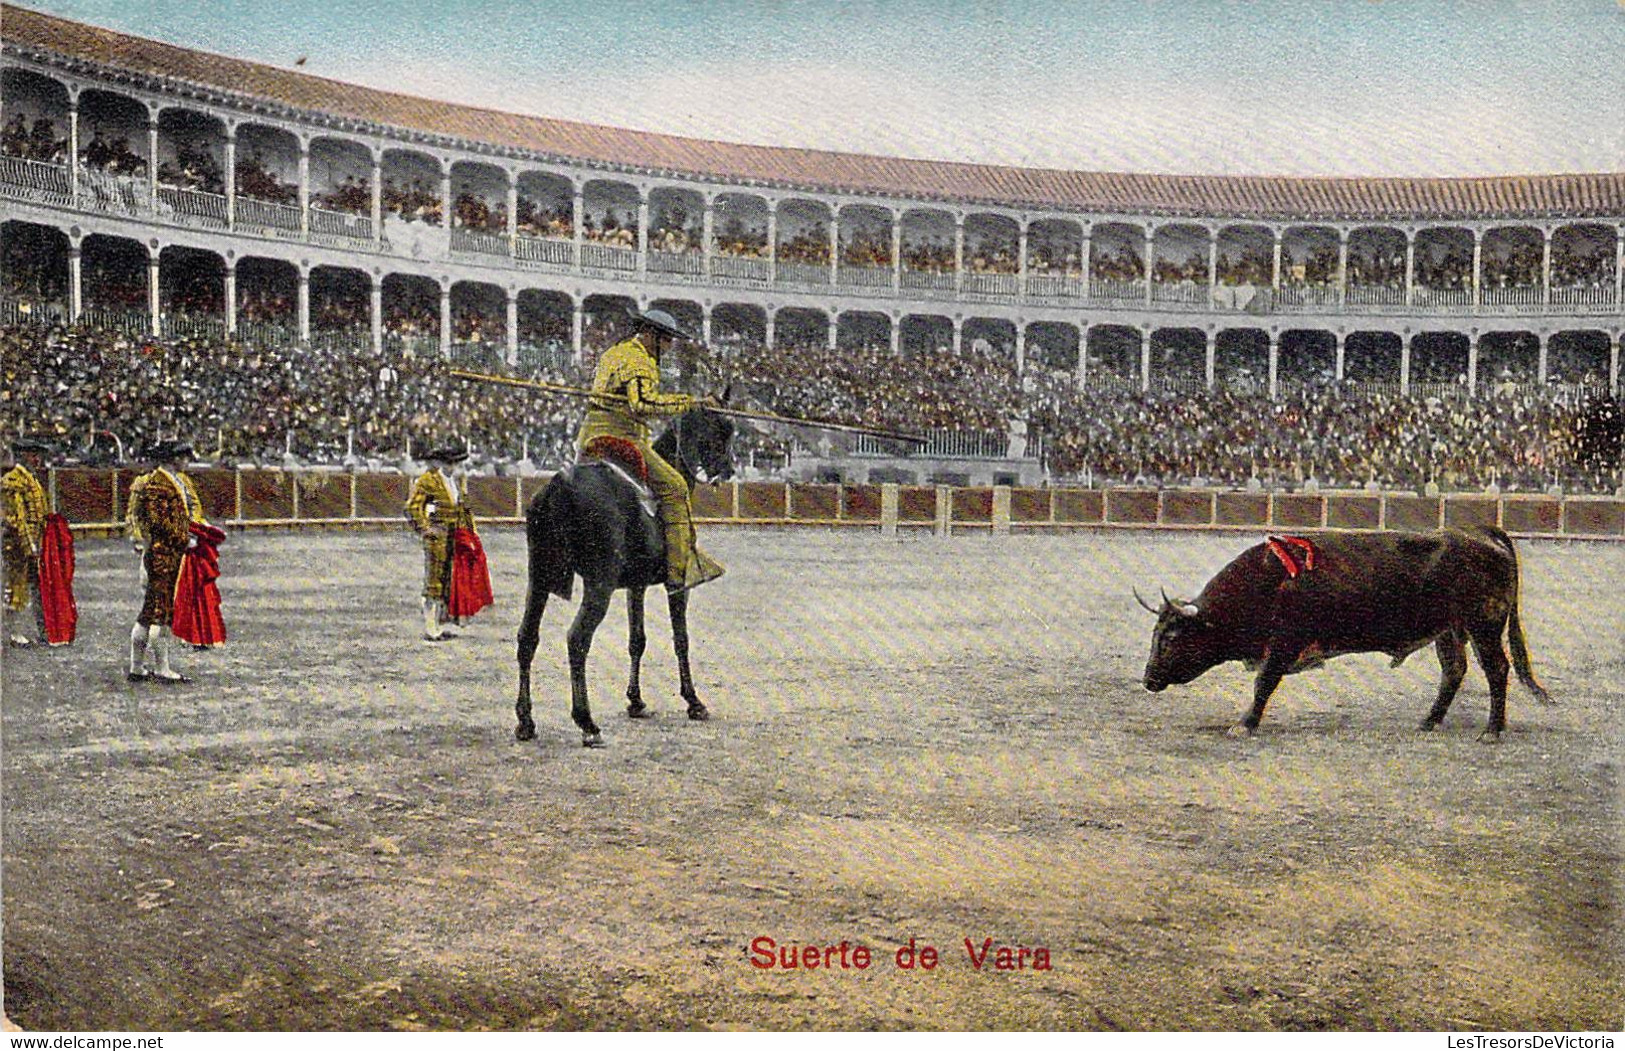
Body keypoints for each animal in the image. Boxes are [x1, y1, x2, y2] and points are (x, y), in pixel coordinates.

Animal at [513, 402, 737, 747]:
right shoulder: (678, 585)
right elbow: (681, 639)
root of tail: (560, 485)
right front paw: (693, 701)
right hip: (598, 585)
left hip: (539, 578)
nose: (727, 470)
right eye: (722, 430)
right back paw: (587, 723)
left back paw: (526, 720)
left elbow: (637, 639)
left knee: (527, 637)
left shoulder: (637, 585)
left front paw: (636, 701)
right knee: (577, 639)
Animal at [1137, 523, 1553, 740]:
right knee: (1454, 671)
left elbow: (1264, 683)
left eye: (1172, 638)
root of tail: (1480, 534)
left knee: (1497, 670)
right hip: (1449, 629)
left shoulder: (1285, 642)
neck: (1271, 580)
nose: (1149, 678)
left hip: (1484, 625)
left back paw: (1492, 731)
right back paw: (1429, 721)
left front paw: (1244, 724)